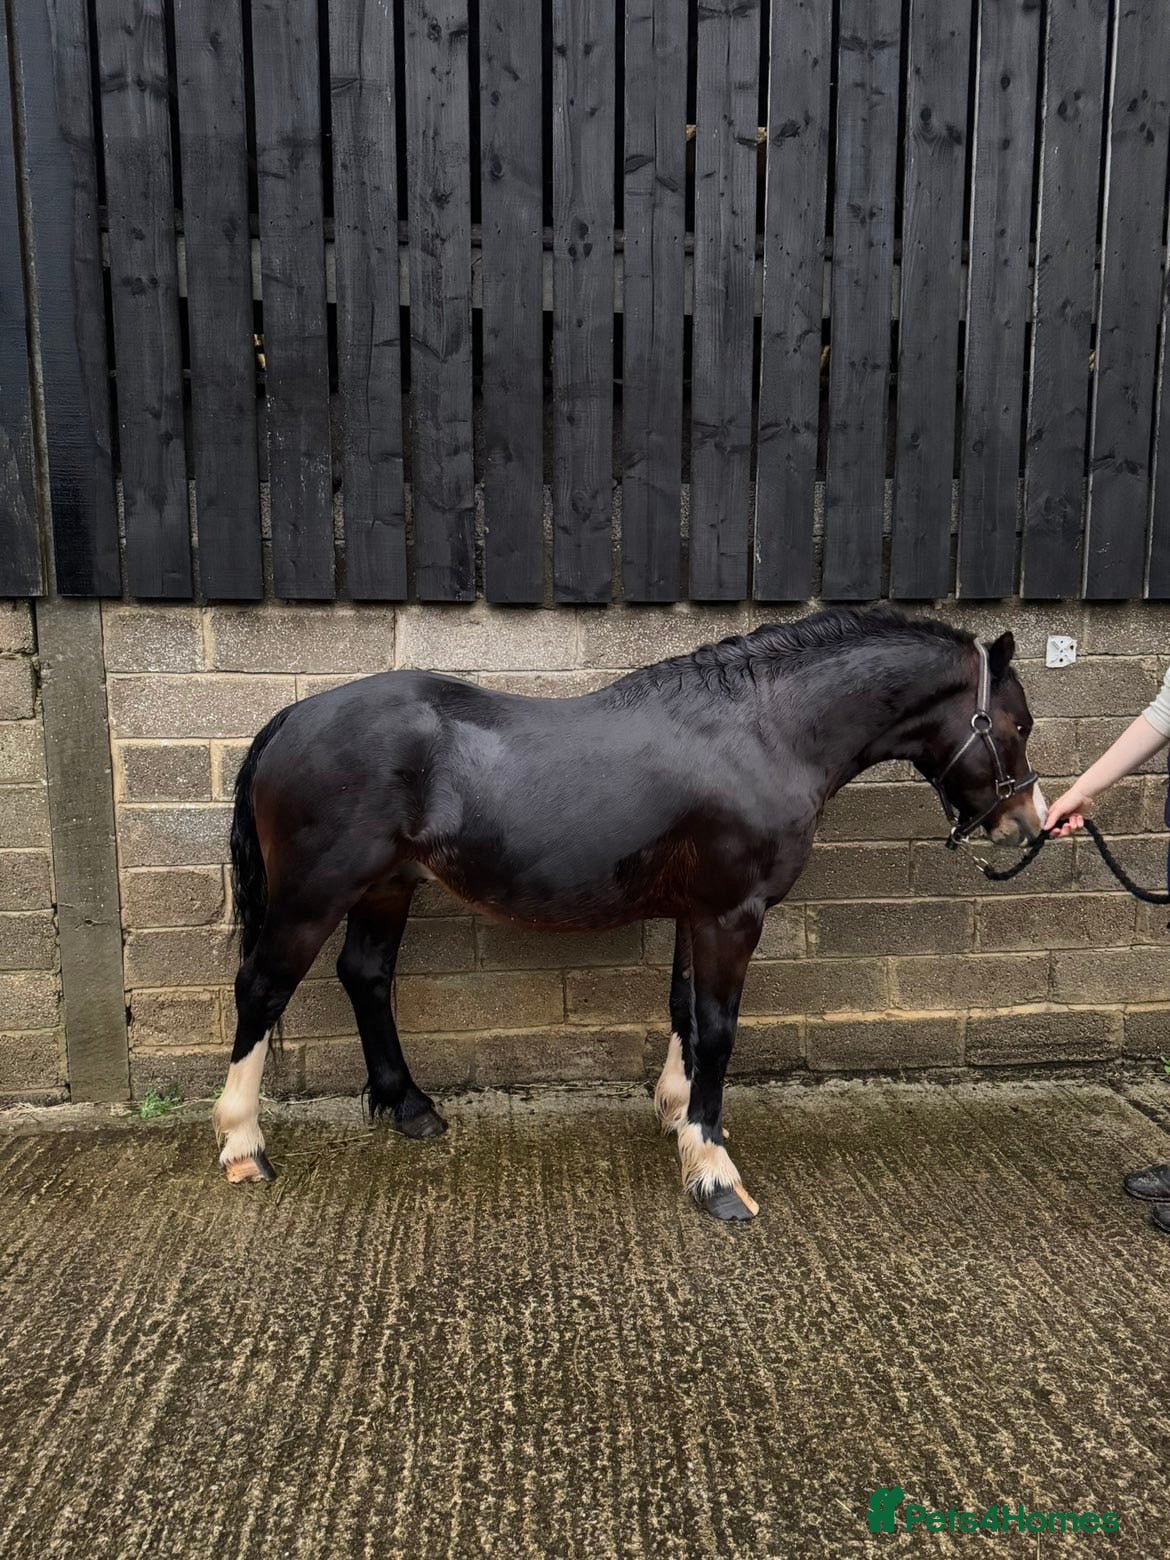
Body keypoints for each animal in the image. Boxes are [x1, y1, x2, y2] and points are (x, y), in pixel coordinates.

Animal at [212, 606, 1044, 1220]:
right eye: (1017, 724)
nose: (1027, 821)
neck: (764, 729)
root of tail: (289, 718)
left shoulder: (696, 911)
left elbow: (684, 1010)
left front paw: (679, 1116)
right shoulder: (731, 912)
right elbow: (717, 1027)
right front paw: (714, 1172)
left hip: (388, 888)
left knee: (366, 975)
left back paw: (410, 1107)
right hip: (314, 896)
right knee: (262, 988)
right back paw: (243, 1146)